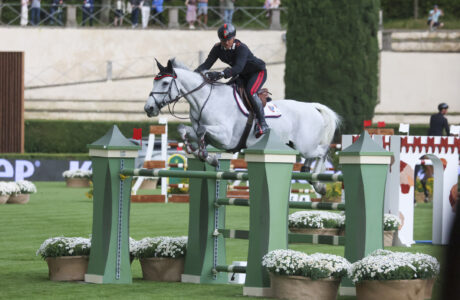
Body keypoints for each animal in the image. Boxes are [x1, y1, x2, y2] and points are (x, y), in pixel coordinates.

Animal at [145, 59, 342, 195]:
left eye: (164, 83)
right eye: (154, 82)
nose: (149, 108)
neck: (205, 99)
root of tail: (313, 107)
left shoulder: (225, 138)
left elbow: (201, 132)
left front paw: (209, 157)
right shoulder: (205, 133)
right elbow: (184, 130)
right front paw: (203, 154)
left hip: (306, 145)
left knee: (323, 152)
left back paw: (319, 184)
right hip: (298, 145)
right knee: (312, 158)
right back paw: (309, 174)